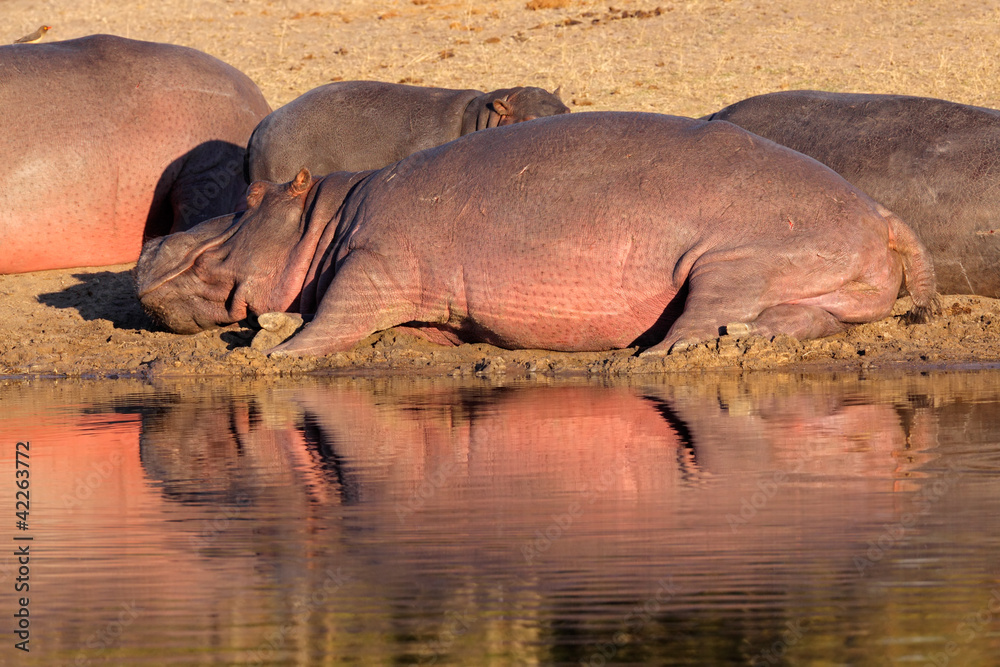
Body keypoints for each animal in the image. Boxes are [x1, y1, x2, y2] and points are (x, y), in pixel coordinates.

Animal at [135, 112, 938, 357]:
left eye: (253, 194)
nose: (146, 248)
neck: (329, 214)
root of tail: (881, 211)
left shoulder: (375, 259)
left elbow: (334, 313)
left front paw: (275, 349)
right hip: (820, 284)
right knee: (803, 319)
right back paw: (746, 339)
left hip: (732, 259)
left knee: (706, 312)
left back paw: (660, 353)